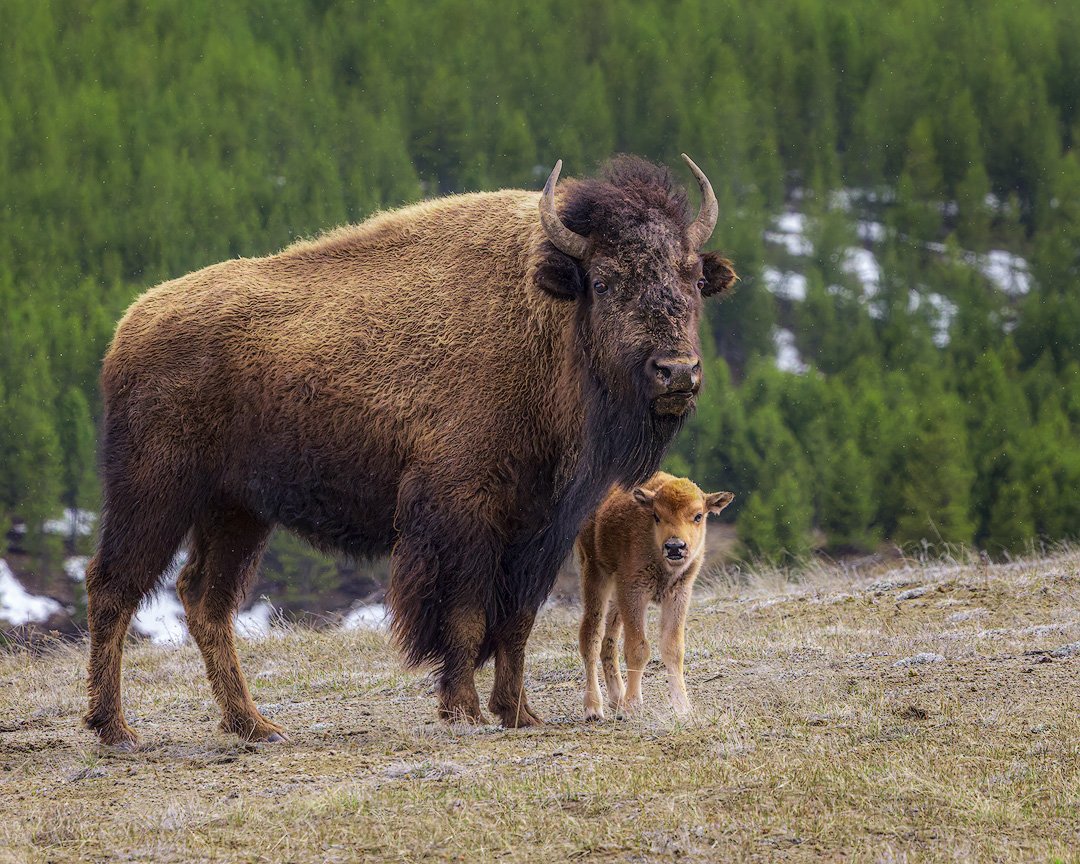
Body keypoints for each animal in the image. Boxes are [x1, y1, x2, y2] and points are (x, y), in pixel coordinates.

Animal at [574, 468, 734, 717]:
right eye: (656, 516)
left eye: (698, 516)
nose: (675, 547)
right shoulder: (634, 593)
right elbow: (638, 649)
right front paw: (633, 705)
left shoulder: (678, 595)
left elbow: (673, 648)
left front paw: (682, 706)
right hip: (594, 573)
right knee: (591, 636)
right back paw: (593, 708)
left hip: (616, 597)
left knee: (608, 641)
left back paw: (617, 698)